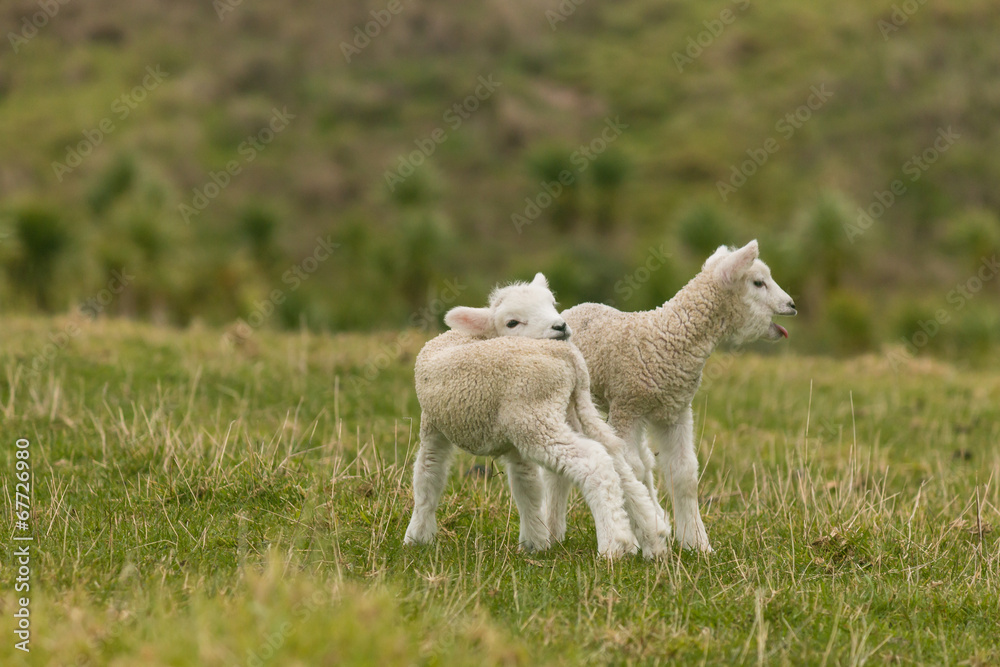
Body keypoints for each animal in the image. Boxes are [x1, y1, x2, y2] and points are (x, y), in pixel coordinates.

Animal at [404, 274, 669, 559]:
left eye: (552, 304)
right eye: (512, 322)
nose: (560, 326)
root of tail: (568, 356)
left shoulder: (432, 425)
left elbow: (428, 476)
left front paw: (416, 537)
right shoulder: (513, 443)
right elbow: (527, 486)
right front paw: (535, 542)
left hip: (537, 421)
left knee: (595, 462)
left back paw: (614, 543)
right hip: (566, 412)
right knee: (617, 459)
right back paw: (652, 536)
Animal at [549, 240, 797, 552]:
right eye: (758, 282)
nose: (792, 305)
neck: (669, 335)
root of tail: (573, 310)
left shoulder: (675, 411)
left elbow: (684, 473)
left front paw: (697, 543)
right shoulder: (627, 407)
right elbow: (632, 469)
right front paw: (648, 535)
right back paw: (553, 531)